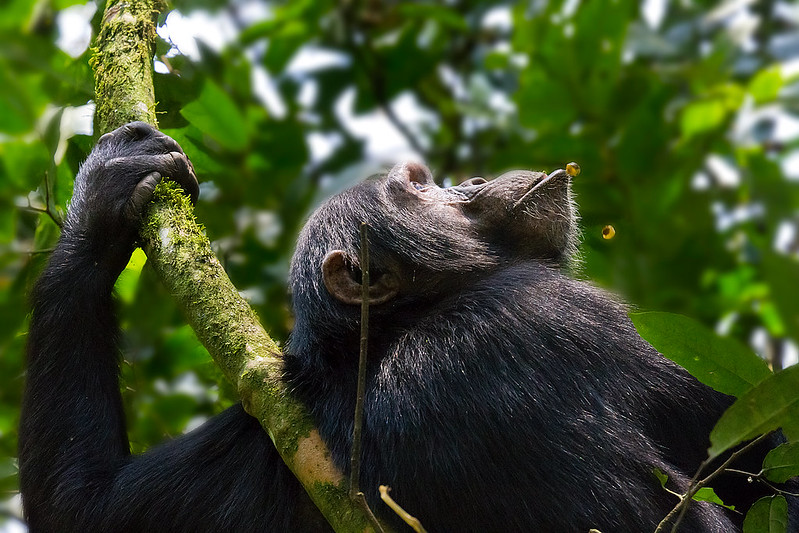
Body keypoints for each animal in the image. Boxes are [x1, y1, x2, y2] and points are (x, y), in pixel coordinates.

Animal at [18, 121, 788, 532]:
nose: (466, 181)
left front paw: (102, 203)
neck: (396, 328)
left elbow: (85, 506)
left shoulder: (275, 428)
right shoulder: (560, 313)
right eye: (417, 187)